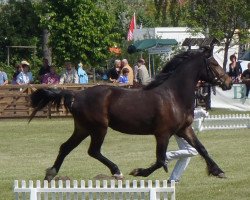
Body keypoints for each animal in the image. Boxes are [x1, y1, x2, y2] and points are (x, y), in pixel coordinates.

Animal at [29, 47, 232, 181]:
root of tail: (77, 94)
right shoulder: (163, 134)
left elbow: (201, 148)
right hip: (99, 128)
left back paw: (51, 173)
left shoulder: (184, 129)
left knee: (65, 147)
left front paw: (218, 171)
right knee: (93, 150)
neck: (173, 95)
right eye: (214, 64)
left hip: (82, 128)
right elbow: (160, 160)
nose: (228, 82)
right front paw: (138, 172)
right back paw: (116, 171)